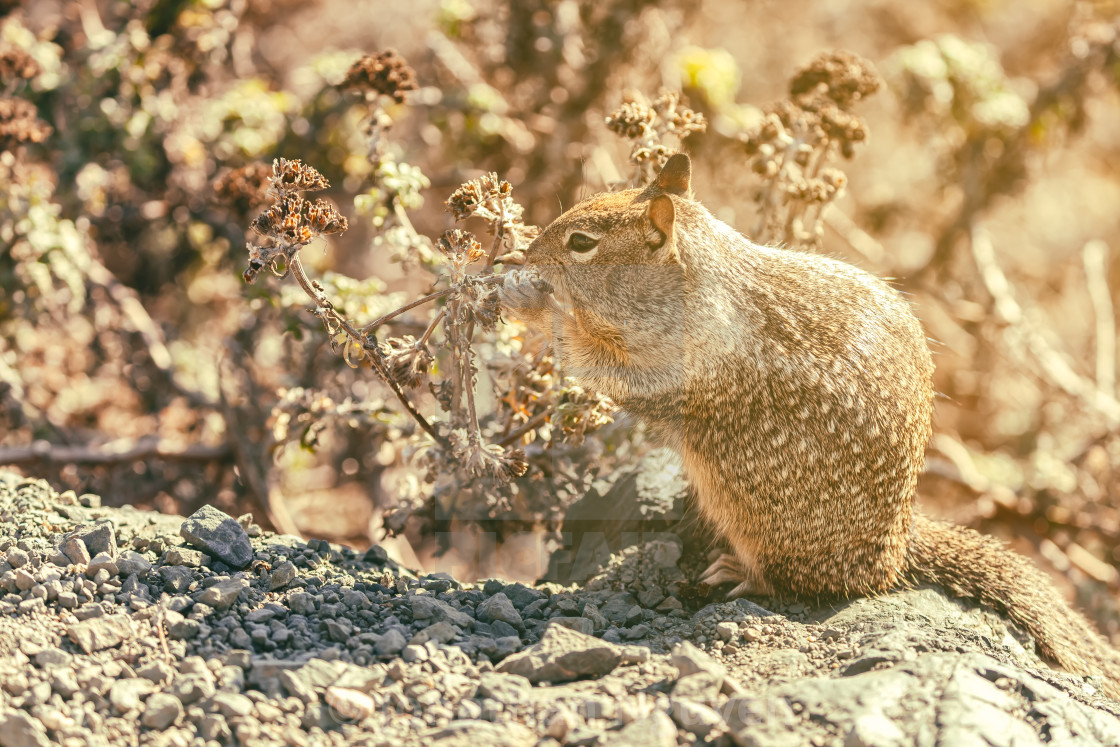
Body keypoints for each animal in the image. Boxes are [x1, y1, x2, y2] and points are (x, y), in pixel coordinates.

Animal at [504, 153, 1120, 703]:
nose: (528, 252)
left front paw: (537, 307)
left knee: (797, 582)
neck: (695, 289)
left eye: (581, 243)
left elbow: (597, 364)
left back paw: (740, 571)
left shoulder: (666, 371)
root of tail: (895, 550)